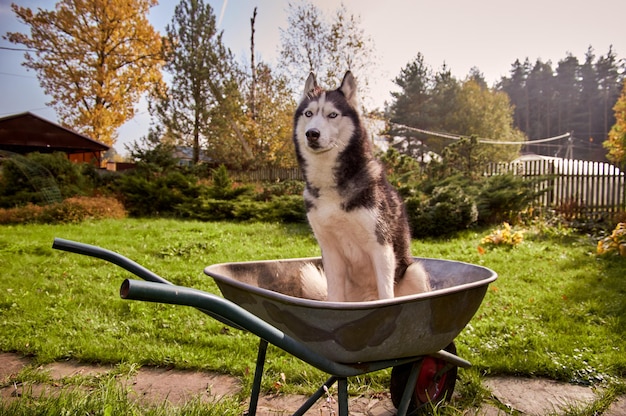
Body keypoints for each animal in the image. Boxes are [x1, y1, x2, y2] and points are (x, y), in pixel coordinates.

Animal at [292, 70, 428, 300]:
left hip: (414, 271)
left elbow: (386, 296)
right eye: (309, 114)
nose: (312, 133)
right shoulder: (330, 252)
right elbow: (334, 299)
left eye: (332, 115)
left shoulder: (381, 247)